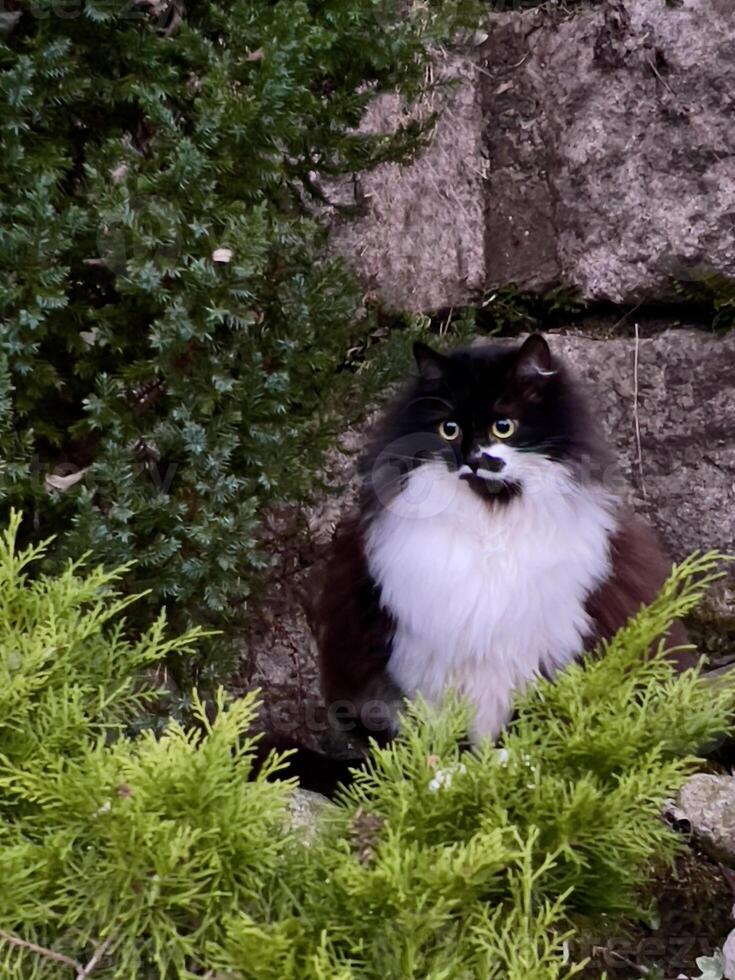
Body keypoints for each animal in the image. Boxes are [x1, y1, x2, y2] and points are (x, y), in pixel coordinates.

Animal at [316, 334, 688, 748]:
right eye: (449, 429)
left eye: (504, 426)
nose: (474, 459)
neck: (491, 521)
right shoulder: (423, 656)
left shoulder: (543, 647)